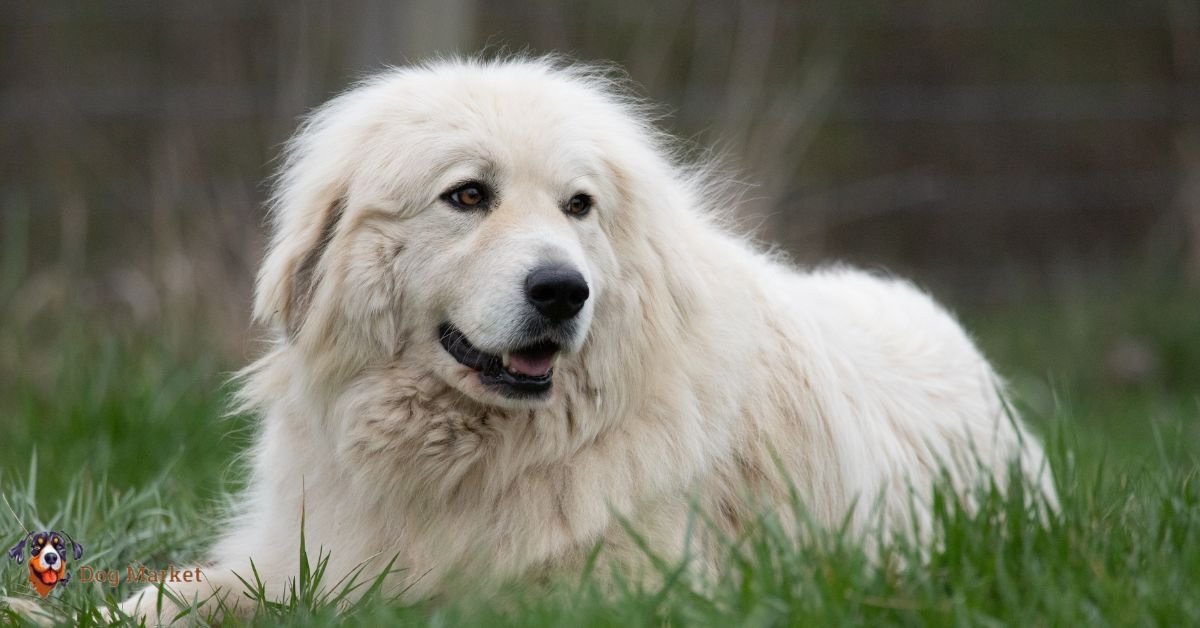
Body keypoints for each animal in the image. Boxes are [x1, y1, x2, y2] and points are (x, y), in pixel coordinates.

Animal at [114, 57, 1051, 624]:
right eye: (468, 196)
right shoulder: (301, 554)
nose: (564, 290)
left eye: (578, 206)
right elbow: (178, 595)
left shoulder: (621, 587)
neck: (471, 463)